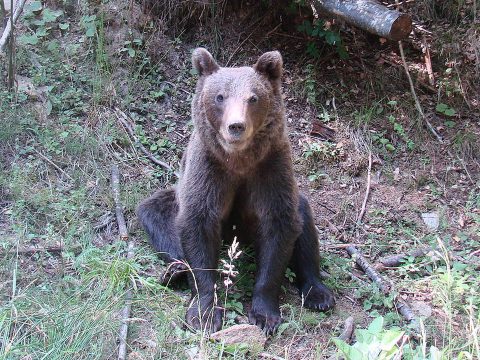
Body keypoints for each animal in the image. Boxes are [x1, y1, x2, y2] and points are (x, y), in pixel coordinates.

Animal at [137, 48, 336, 334]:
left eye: (253, 98)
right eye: (220, 96)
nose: (236, 126)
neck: (238, 161)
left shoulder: (270, 169)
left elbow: (279, 227)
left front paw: (265, 314)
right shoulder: (209, 169)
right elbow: (198, 224)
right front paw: (204, 313)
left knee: (304, 222)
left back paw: (318, 293)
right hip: (174, 199)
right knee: (156, 214)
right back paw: (175, 271)